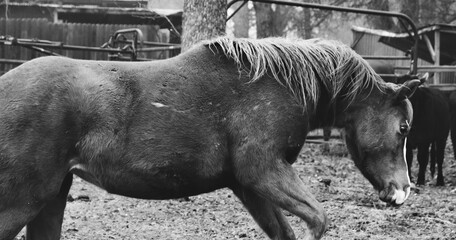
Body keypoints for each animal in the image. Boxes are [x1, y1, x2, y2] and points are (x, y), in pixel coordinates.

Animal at [0, 36, 420, 239]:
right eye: (403, 128)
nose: (402, 191)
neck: (277, 85)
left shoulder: (248, 186)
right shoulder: (262, 173)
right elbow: (318, 220)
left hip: (51, 198)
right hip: (23, 202)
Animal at [368, 59, 450, 187]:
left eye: (415, 87)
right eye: (399, 84)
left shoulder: (424, 140)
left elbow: (422, 158)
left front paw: (420, 180)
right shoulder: (408, 140)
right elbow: (409, 159)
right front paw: (410, 178)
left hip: (442, 136)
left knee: (440, 157)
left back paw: (440, 180)